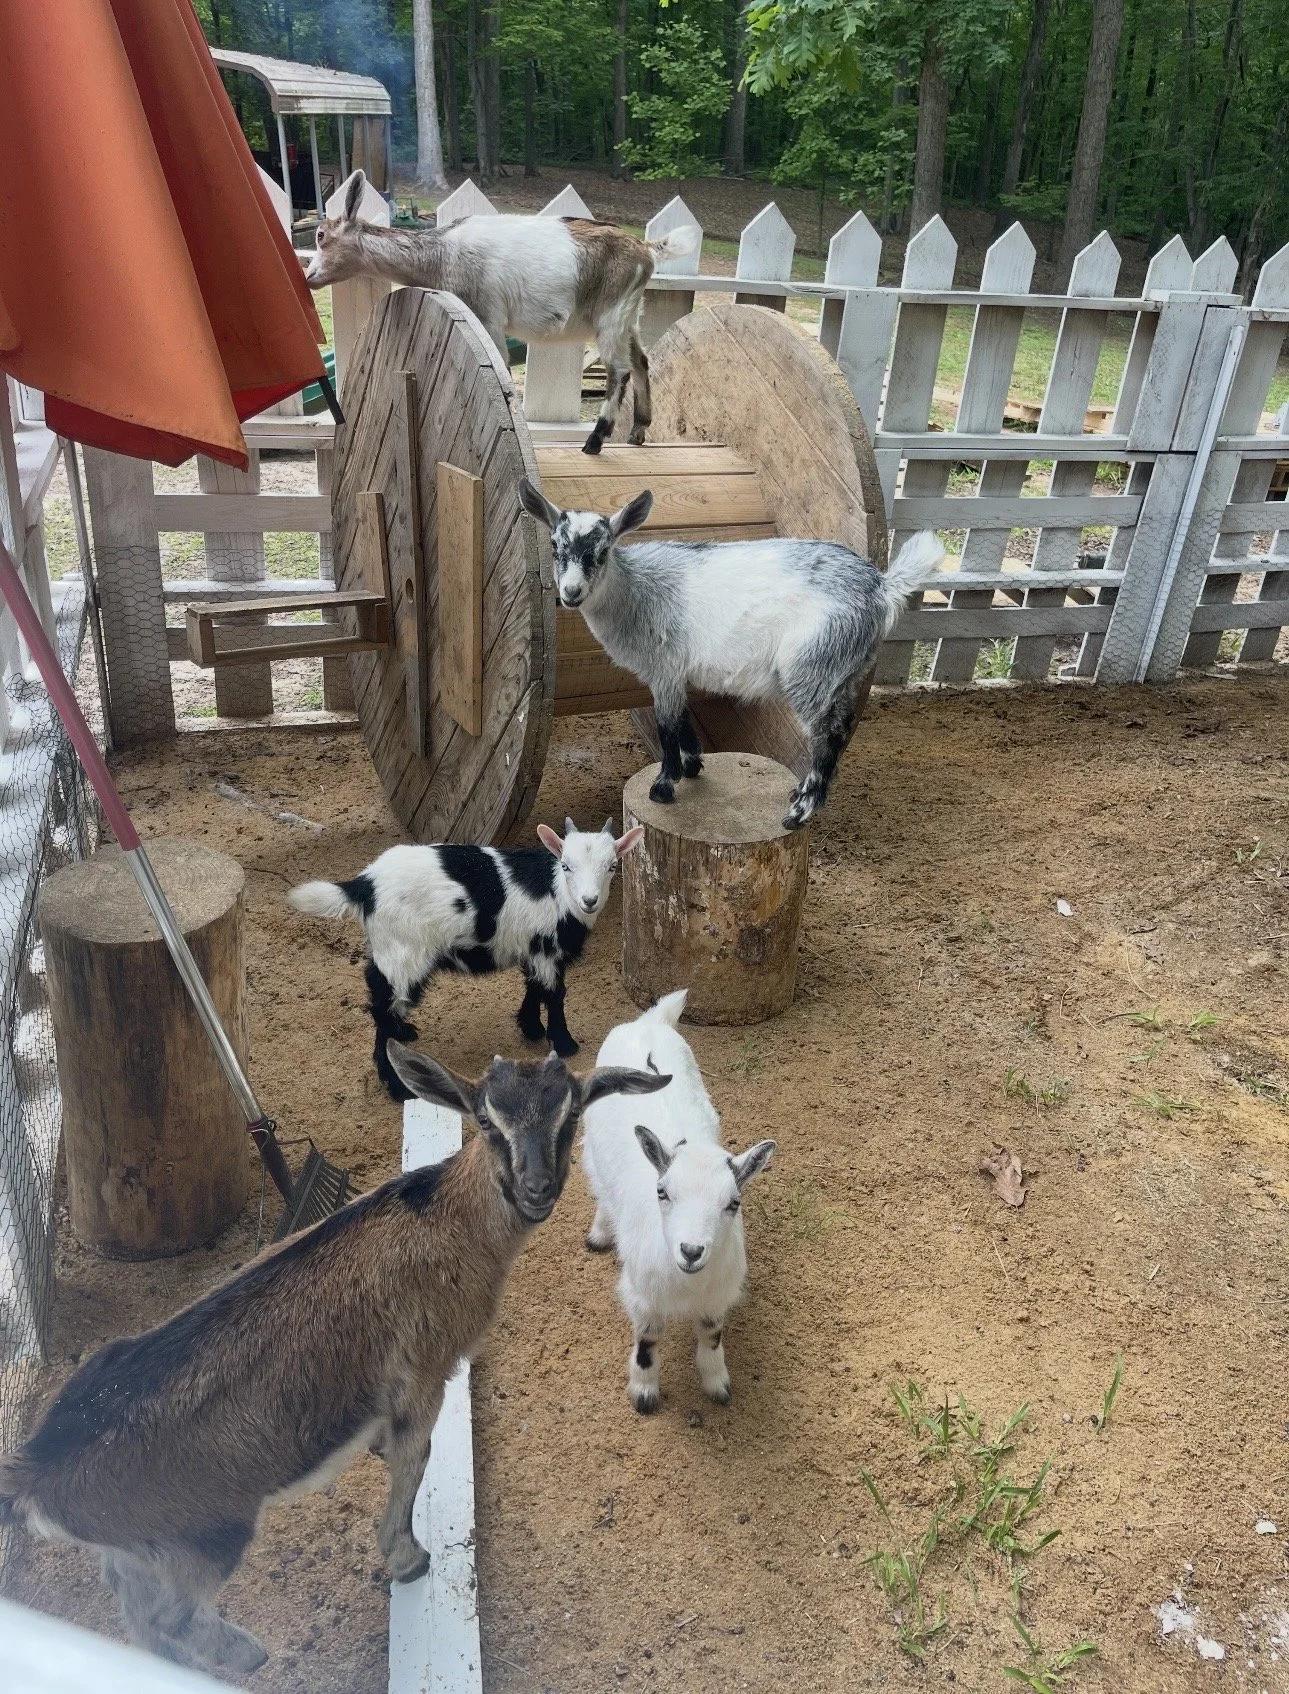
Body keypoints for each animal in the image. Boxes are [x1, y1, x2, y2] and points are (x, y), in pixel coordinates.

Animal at [0, 1043, 667, 1676]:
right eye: (485, 1119)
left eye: (571, 1113)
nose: (536, 1190)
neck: (445, 1219)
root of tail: (35, 1471)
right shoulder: (424, 1372)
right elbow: (416, 1458)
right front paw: (407, 1558)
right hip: (205, 1535)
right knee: (172, 1616)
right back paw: (247, 1654)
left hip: (140, 1552)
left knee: (134, 1613)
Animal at [289, 817, 644, 1100]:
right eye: (566, 865)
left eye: (612, 866)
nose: (589, 900)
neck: (558, 892)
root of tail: (365, 885)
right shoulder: (547, 949)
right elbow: (554, 994)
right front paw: (564, 1043)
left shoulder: (531, 947)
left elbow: (532, 986)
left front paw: (530, 1028)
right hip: (404, 953)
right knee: (383, 1012)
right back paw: (397, 1087)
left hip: (386, 950)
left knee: (381, 996)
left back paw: (404, 1035)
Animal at [305, 170, 697, 454]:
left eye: (321, 235)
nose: (309, 277)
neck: (440, 254)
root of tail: (646, 249)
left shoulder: (487, 315)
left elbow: (502, 369)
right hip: (629, 315)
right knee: (642, 361)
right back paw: (638, 431)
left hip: (611, 314)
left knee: (620, 370)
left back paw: (595, 440)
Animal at [518, 478, 948, 830]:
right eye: (554, 547)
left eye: (603, 551)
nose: (571, 593)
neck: (636, 591)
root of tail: (882, 587)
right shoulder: (676, 672)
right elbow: (683, 717)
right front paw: (693, 765)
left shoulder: (665, 668)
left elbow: (667, 723)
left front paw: (665, 785)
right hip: (844, 670)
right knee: (842, 724)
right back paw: (801, 793)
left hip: (811, 665)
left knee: (827, 733)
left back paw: (799, 813)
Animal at [581, 991, 776, 1413]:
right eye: (662, 1192)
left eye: (733, 1203)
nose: (691, 1250)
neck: (687, 1285)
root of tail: (649, 1022)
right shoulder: (644, 1297)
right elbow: (647, 1344)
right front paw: (643, 1394)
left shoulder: (716, 1297)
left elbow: (712, 1336)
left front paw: (717, 1384)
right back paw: (600, 1234)